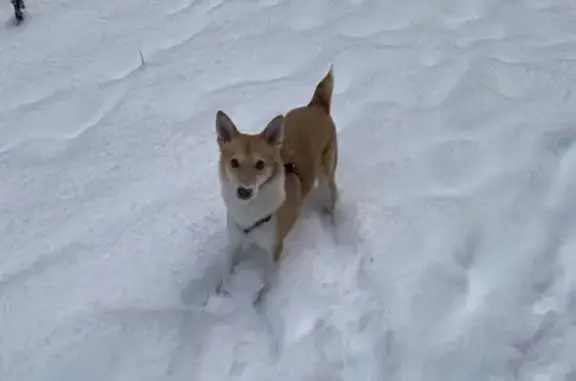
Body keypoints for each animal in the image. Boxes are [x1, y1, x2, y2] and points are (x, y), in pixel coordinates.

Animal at [213, 67, 338, 290]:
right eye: (234, 162)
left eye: (260, 164)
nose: (244, 191)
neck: (251, 211)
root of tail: (315, 107)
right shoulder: (234, 242)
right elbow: (225, 270)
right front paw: (218, 295)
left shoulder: (275, 248)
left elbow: (267, 285)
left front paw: (261, 299)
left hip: (327, 176)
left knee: (333, 195)